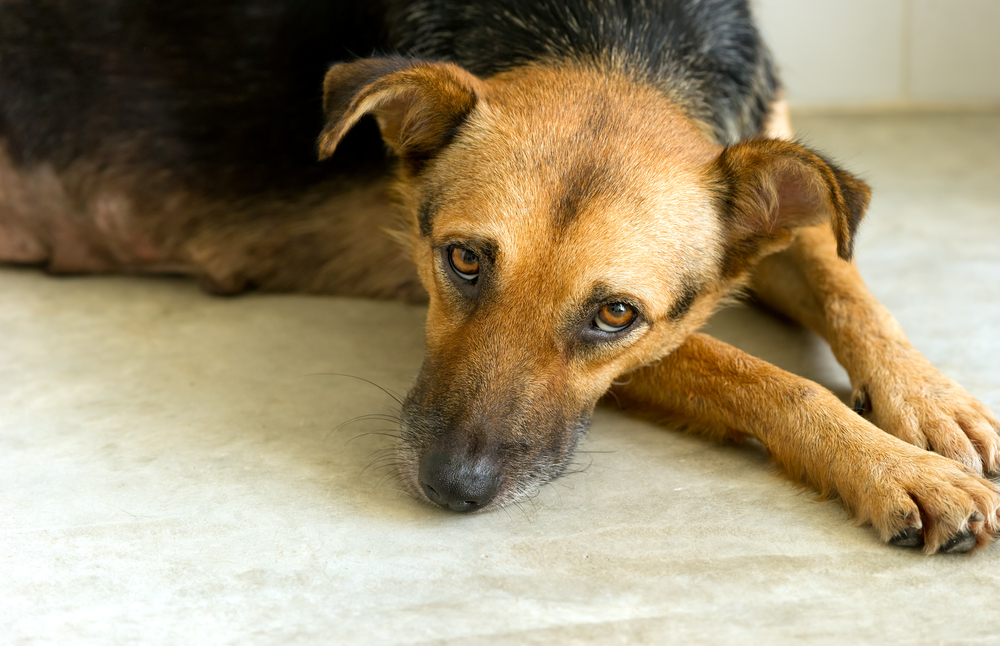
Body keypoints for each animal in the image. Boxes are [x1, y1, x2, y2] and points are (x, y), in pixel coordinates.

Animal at [0, 0, 996, 556]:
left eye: (615, 313)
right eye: (464, 260)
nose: (453, 490)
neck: (613, 38)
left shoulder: (763, 229)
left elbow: (848, 285)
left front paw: (930, 405)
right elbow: (770, 378)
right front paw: (894, 467)